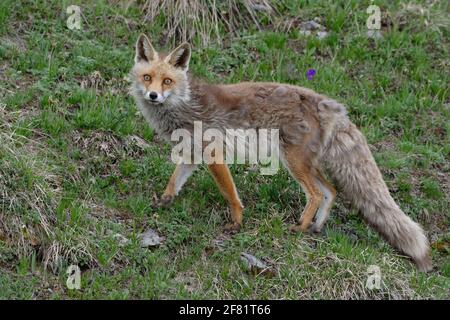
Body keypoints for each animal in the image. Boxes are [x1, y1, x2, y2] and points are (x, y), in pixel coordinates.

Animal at [130, 33, 432, 272]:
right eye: (147, 78)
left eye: (167, 81)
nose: (153, 96)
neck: (184, 106)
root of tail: (326, 103)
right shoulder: (193, 154)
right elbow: (174, 181)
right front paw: (163, 202)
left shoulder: (213, 155)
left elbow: (230, 195)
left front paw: (236, 224)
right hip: (306, 165)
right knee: (331, 191)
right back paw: (315, 227)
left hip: (293, 163)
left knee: (315, 194)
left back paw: (300, 227)